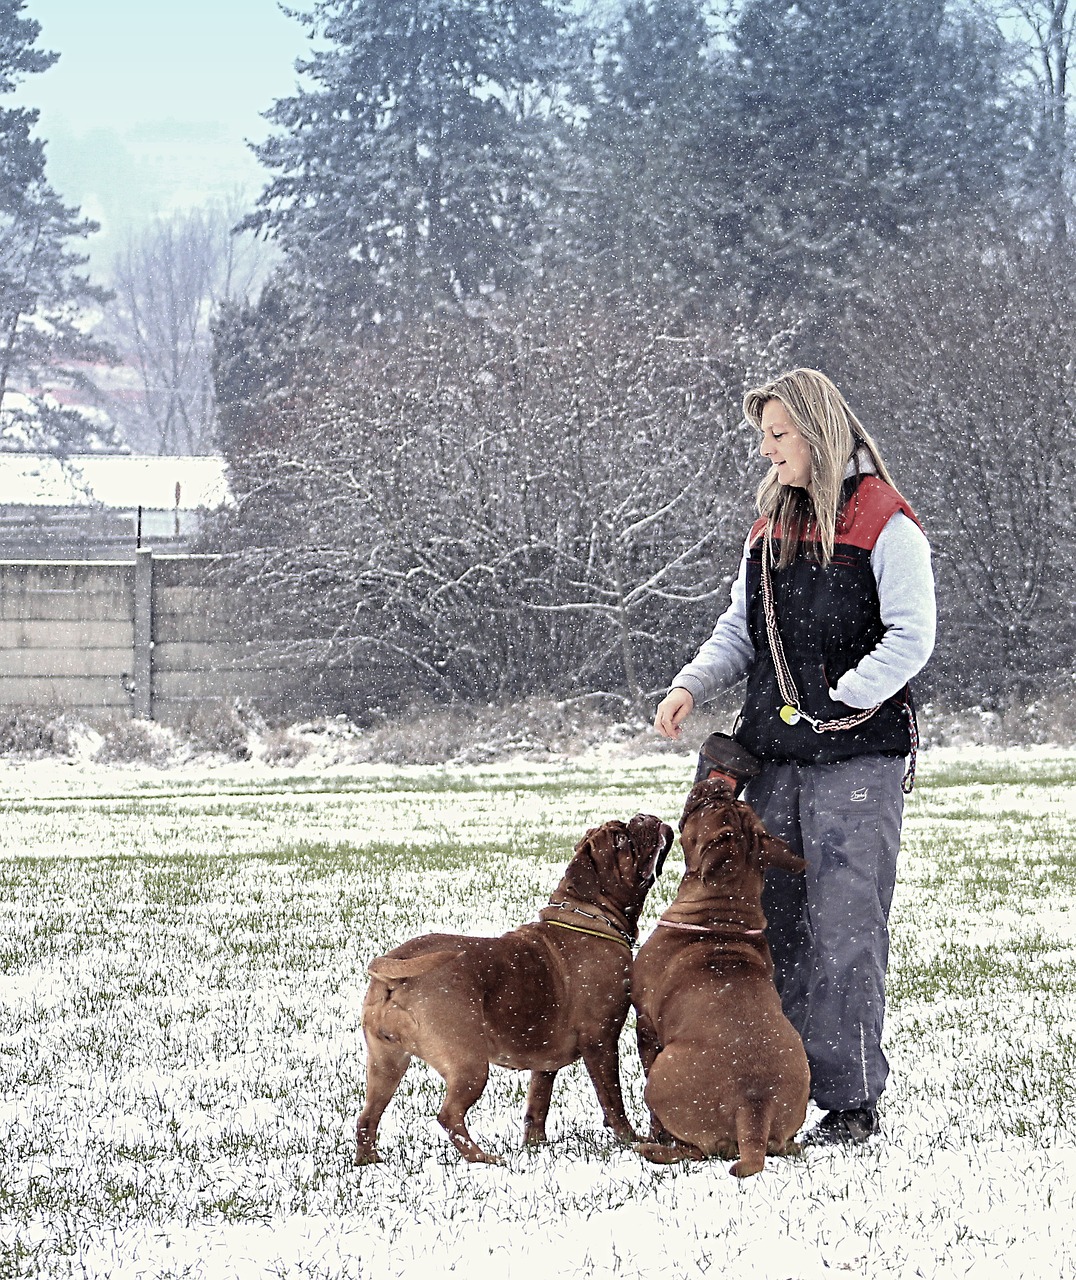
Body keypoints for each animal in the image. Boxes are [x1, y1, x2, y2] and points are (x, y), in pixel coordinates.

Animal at [355, 814, 665, 1167]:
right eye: (620, 839)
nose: (643, 817)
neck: (591, 918)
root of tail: (396, 964)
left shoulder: (545, 1063)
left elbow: (537, 1105)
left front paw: (536, 1145)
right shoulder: (601, 1041)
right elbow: (612, 1100)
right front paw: (630, 1139)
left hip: (386, 1065)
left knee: (368, 1117)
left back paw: (369, 1160)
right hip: (469, 1064)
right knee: (449, 1116)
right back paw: (484, 1159)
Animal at [629, 773, 808, 1172]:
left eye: (711, 807)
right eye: (735, 805)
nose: (719, 786)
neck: (723, 913)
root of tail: (753, 1107)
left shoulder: (645, 1025)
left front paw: (653, 1136)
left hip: (662, 1078)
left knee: (695, 1149)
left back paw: (652, 1149)